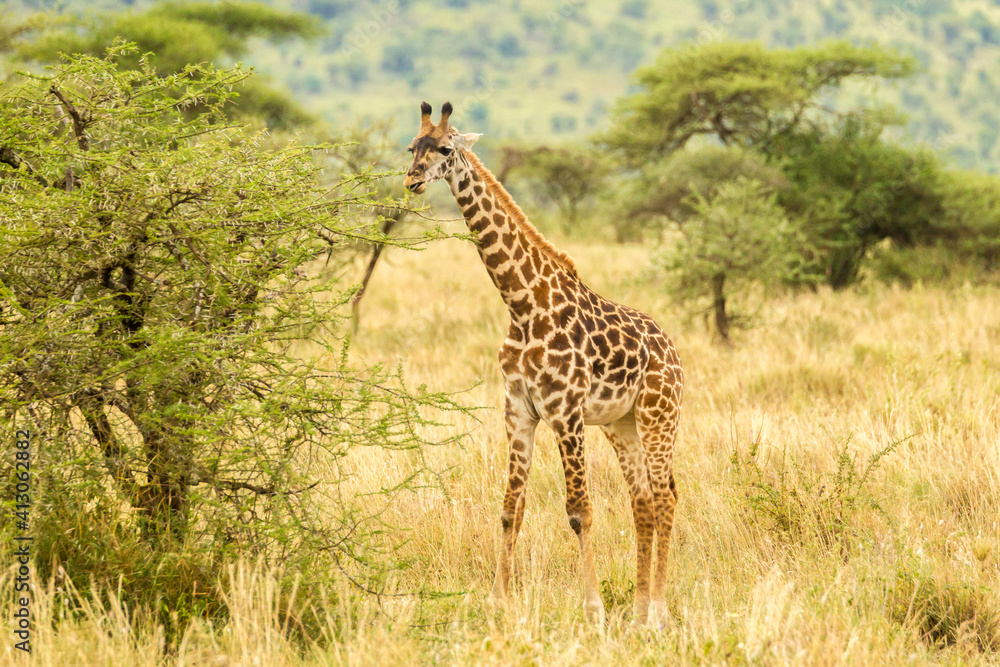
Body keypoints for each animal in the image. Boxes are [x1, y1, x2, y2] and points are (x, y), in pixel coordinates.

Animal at [404, 102, 683, 627]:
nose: (411, 179)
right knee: (641, 500)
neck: (522, 304)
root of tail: (673, 351)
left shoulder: (566, 412)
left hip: (660, 416)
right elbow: (510, 507)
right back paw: (638, 611)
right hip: (621, 424)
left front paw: (592, 607)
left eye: (446, 149)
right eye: (412, 146)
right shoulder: (518, 410)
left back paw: (657, 611)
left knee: (664, 496)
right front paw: (498, 601)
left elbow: (579, 510)